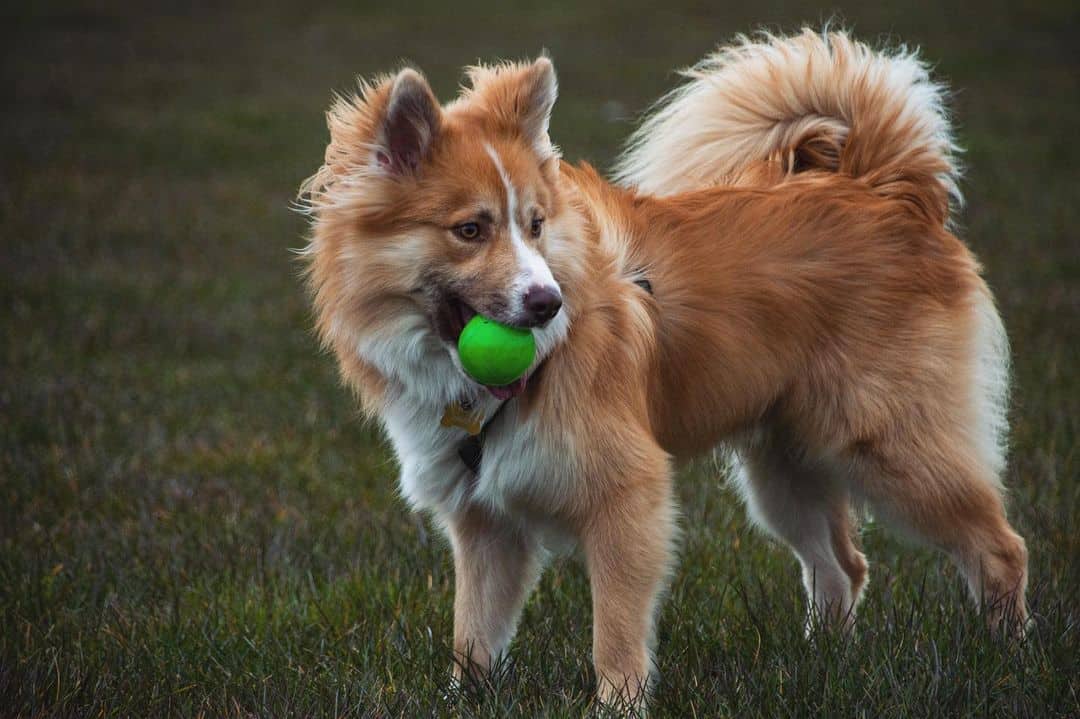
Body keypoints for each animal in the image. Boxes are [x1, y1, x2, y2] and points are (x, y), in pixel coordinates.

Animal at [298, 29, 1028, 703]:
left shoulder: (628, 496)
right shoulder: (485, 523)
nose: (548, 303)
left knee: (999, 547)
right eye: (470, 230)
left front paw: (618, 704)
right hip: (784, 465)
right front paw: (464, 698)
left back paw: (1006, 656)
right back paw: (824, 663)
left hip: (886, 443)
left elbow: (616, 631)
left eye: (534, 225)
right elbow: (474, 634)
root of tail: (887, 189)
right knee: (842, 566)